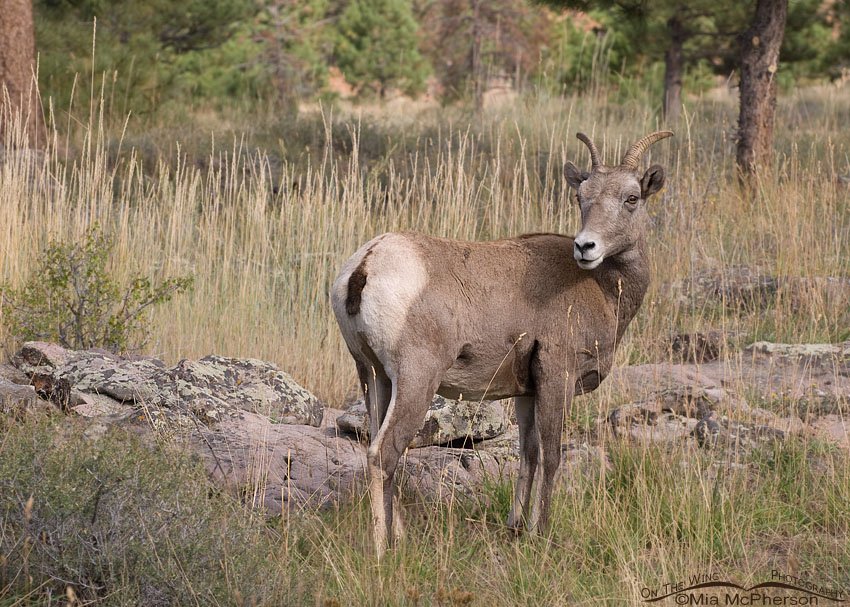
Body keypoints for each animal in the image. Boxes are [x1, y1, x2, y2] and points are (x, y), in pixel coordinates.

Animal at [331, 130, 673, 557]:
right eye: (581, 196)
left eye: (631, 198)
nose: (586, 247)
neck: (602, 288)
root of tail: (365, 266)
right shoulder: (557, 379)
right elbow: (553, 455)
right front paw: (541, 533)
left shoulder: (526, 391)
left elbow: (528, 455)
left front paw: (516, 529)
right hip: (416, 380)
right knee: (384, 453)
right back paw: (383, 550)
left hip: (374, 377)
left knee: (377, 447)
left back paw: (400, 537)